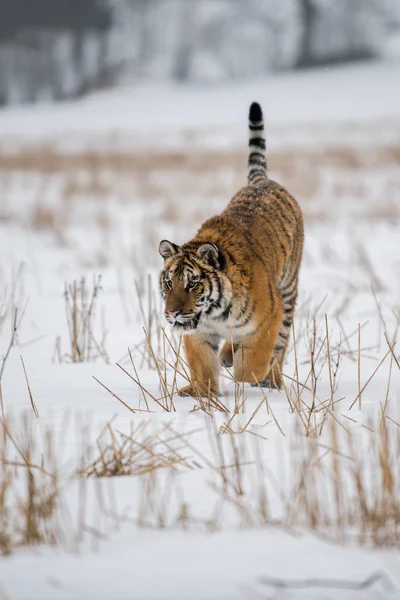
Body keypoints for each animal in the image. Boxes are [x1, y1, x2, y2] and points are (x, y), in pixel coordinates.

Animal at [159, 102, 304, 398]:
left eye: (192, 284)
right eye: (169, 284)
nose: (173, 313)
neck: (214, 312)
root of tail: (262, 181)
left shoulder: (270, 316)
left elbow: (253, 362)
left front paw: (247, 374)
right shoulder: (199, 333)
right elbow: (202, 365)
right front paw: (201, 393)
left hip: (287, 292)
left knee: (280, 345)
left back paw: (270, 379)